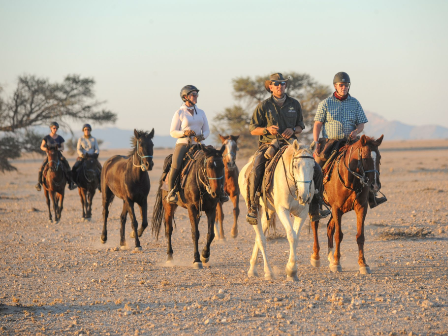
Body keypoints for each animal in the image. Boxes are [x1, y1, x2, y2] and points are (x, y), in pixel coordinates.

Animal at [240, 139, 316, 280]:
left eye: (313, 166)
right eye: (295, 166)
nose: (304, 196)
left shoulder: (301, 213)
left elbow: (296, 237)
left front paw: (292, 272)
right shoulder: (282, 210)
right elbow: (291, 235)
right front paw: (291, 270)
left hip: (268, 212)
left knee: (259, 238)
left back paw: (252, 269)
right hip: (256, 210)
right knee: (261, 239)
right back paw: (268, 272)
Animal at [310, 135, 384, 274]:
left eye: (379, 157)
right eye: (364, 158)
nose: (375, 185)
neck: (351, 181)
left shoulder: (361, 208)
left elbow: (360, 236)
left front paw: (363, 264)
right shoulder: (336, 208)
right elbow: (339, 235)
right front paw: (337, 264)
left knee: (329, 227)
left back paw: (330, 257)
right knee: (315, 224)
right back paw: (316, 257)